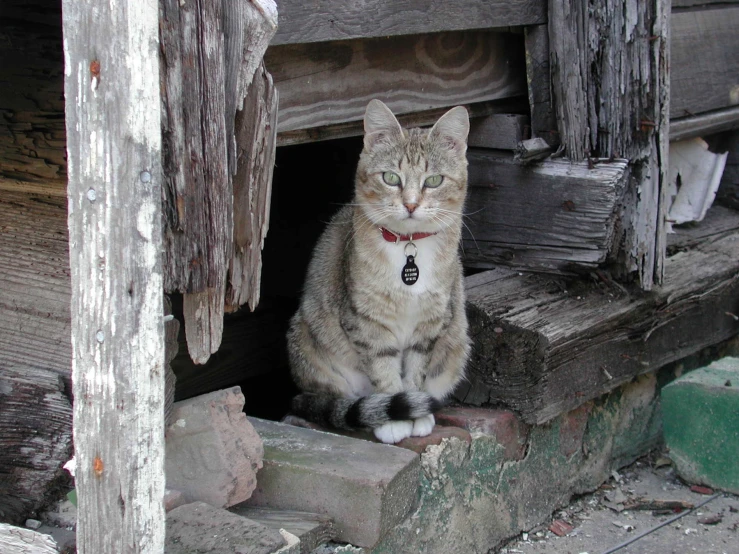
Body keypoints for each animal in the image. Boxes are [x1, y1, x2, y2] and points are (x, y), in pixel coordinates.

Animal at [286, 99, 472, 442]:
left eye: (434, 181)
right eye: (390, 177)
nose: (411, 205)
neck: (407, 248)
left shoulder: (432, 321)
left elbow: (416, 369)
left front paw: (417, 414)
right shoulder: (366, 319)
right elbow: (383, 368)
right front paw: (394, 418)